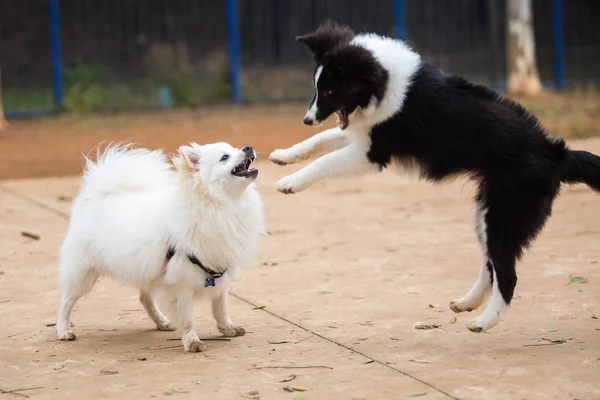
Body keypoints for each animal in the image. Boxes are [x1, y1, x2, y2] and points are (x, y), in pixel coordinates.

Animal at [58, 143, 264, 354]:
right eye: (224, 157)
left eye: (235, 148)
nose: (248, 147)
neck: (219, 203)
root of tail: (93, 198)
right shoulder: (181, 284)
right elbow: (187, 317)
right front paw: (192, 341)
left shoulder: (218, 272)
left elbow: (220, 308)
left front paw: (228, 329)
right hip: (83, 275)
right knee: (66, 302)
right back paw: (63, 330)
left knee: (144, 298)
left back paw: (162, 322)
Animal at [270, 22, 600, 334]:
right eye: (317, 88)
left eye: (329, 92)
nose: (307, 119)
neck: (383, 80)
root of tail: (556, 154)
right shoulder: (362, 134)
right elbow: (319, 141)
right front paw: (283, 155)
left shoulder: (373, 152)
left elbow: (324, 160)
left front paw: (290, 183)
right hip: (487, 213)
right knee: (490, 265)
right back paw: (467, 303)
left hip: (504, 215)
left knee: (507, 275)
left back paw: (483, 322)